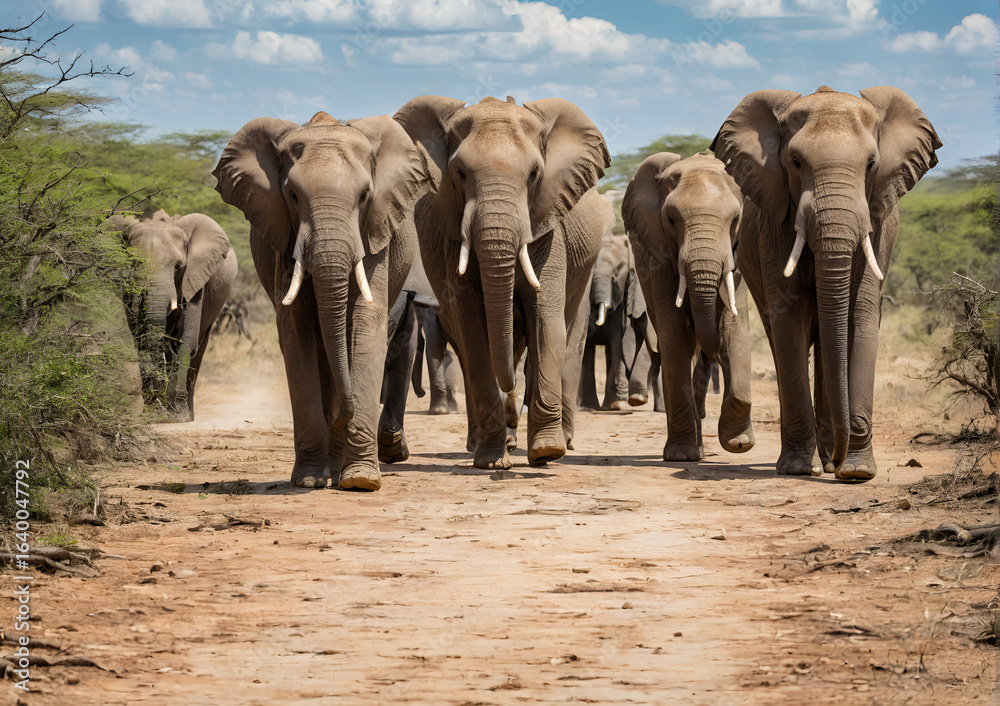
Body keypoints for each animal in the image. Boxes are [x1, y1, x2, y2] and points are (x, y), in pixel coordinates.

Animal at [110, 209, 237, 421]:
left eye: (178, 266)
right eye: (135, 263)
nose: (156, 402)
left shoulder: (196, 280)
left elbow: (186, 342)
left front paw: (179, 415)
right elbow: (141, 341)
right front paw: (155, 410)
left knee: (198, 349)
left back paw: (188, 413)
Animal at [213, 111, 427, 491]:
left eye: (365, 195)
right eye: (292, 195)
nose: (344, 415)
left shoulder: (375, 232)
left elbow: (366, 323)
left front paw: (361, 481)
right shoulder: (283, 237)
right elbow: (294, 331)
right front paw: (311, 479)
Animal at [394, 95, 613, 468]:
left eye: (535, 173)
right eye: (459, 173)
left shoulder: (549, 228)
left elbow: (544, 319)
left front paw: (546, 451)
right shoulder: (450, 239)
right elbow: (473, 332)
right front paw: (492, 460)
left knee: (567, 335)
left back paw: (560, 441)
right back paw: (484, 443)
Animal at [624, 151, 754, 461]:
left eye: (736, 219)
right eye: (671, 219)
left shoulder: (736, 260)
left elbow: (733, 326)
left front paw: (739, 443)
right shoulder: (659, 257)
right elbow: (674, 335)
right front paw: (681, 456)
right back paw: (694, 449)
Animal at [711, 85, 940, 479]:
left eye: (871, 164)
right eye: (795, 162)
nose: (837, 464)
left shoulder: (879, 228)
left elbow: (860, 312)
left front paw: (857, 472)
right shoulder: (776, 224)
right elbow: (789, 318)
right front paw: (799, 469)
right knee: (785, 338)